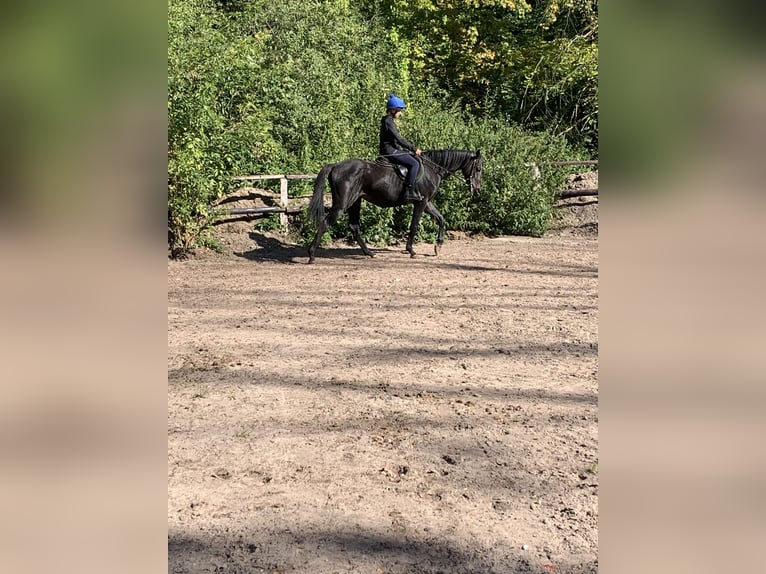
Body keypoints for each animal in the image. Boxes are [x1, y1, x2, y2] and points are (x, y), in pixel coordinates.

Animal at [307, 149, 482, 263]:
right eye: (478, 168)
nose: (477, 188)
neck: (432, 169)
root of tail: (335, 165)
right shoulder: (421, 202)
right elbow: (414, 225)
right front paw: (411, 250)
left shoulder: (427, 203)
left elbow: (441, 219)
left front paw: (438, 246)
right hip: (343, 204)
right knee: (325, 223)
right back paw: (312, 255)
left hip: (355, 201)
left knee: (353, 226)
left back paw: (369, 253)